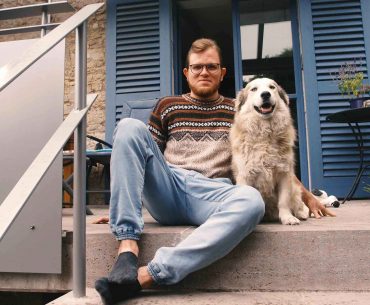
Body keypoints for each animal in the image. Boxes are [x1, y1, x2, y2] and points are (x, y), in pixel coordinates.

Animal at [231, 77, 310, 224]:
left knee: (298, 201)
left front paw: (287, 217)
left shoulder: (284, 174)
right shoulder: (245, 175)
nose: (266, 94)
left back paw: (301, 212)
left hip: (294, 188)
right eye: (254, 89)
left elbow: (284, 201)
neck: (265, 133)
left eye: (272, 87)